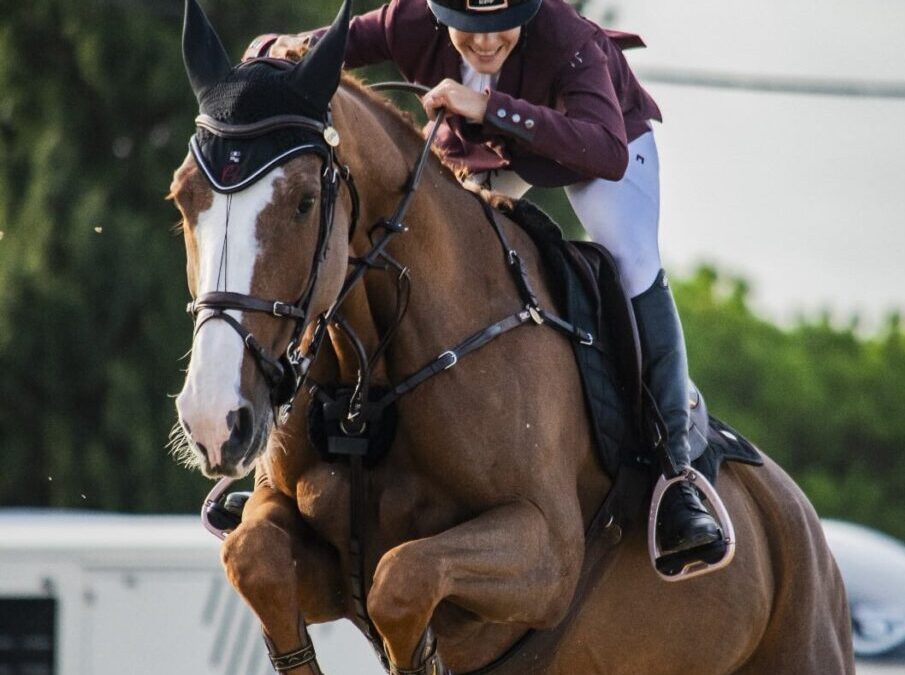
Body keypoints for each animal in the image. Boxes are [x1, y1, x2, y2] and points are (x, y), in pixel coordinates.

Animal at [170, 2, 856, 672]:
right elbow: (254, 558)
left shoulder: (546, 553)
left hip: (803, 641)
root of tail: (803, 521)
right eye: (182, 199)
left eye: (306, 201)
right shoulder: (314, 553)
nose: (214, 420)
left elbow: (403, 577)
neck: (369, 395)